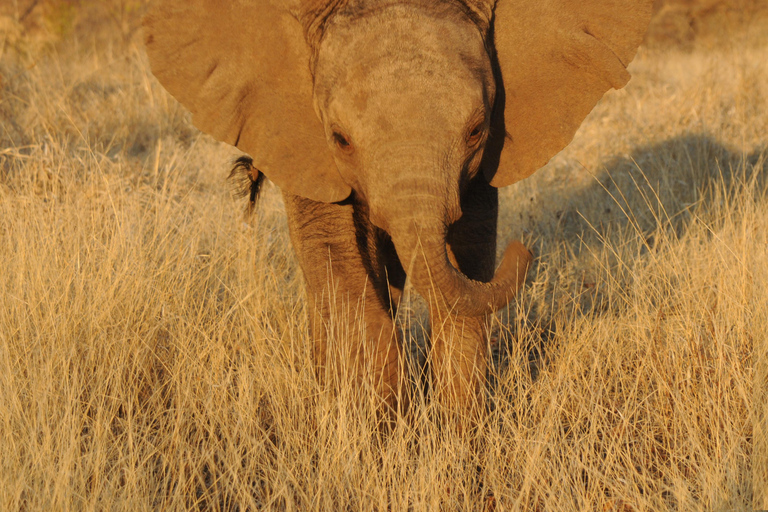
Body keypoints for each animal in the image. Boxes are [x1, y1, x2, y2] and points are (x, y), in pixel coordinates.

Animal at [141, 0, 652, 416]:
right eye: (340, 139)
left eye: (476, 131)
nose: (524, 250)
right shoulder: (296, 135)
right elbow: (338, 259)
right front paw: (378, 431)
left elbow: (471, 250)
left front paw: (460, 437)